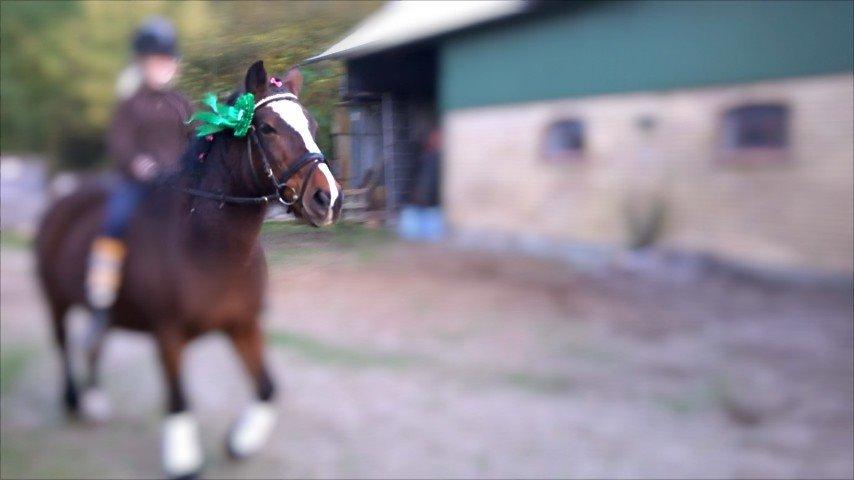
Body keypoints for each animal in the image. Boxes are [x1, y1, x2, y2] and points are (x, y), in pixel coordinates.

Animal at [34, 62, 342, 478]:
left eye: (310, 123)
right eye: (266, 128)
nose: (328, 199)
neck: (207, 245)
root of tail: (62, 199)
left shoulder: (243, 325)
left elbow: (267, 388)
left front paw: (239, 442)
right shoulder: (169, 335)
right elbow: (179, 399)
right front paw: (184, 460)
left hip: (108, 312)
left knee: (95, 341)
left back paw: (95, 401)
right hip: (56, 301)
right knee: (63, 344)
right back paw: (73, 401)